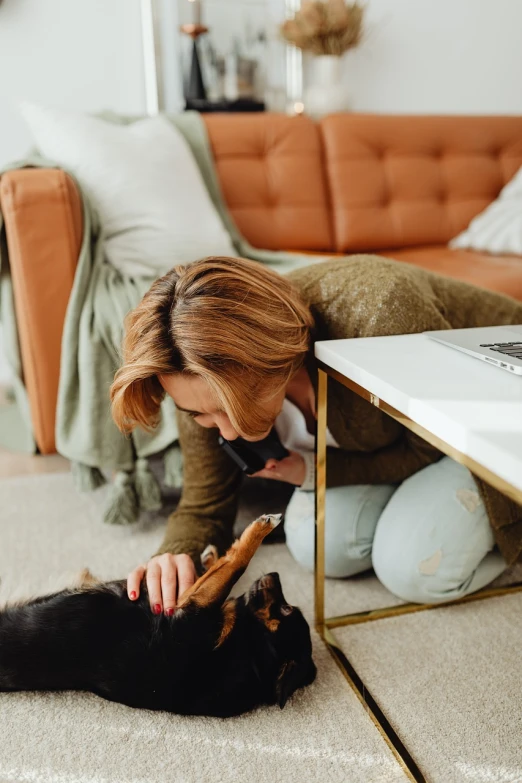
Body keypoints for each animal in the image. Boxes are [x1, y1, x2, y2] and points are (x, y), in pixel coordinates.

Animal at [0, 516, 316, 716]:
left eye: (286, 609)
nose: (275, 574)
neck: (252, 647)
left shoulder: (191, 612)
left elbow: (234, 566)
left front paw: (257, 531)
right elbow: (220, 571)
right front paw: (210, 557)